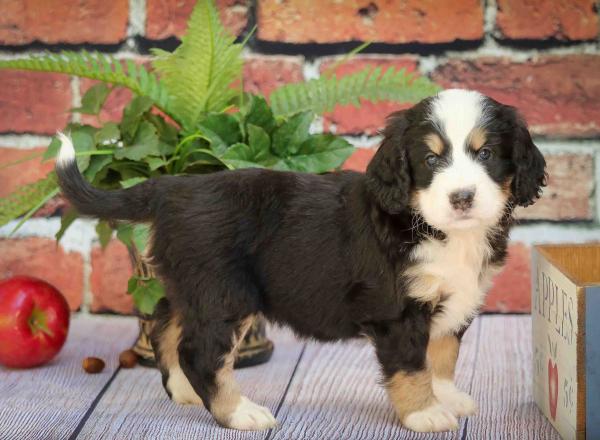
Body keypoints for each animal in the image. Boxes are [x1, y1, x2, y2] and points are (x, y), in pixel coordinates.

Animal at [57, 87, 548, 432]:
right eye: (430, 159)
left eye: (486, 154)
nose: (462, 197)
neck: (433, 227)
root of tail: (173, 186)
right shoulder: (399, 311)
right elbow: (412, 366)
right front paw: (424, 414)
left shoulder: (451, 303)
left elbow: (442, 356)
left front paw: (446, 397)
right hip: (226, 294)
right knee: (200, 352)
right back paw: (240, 414)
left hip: (194, 286)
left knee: (165, 326)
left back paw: (183, 391)